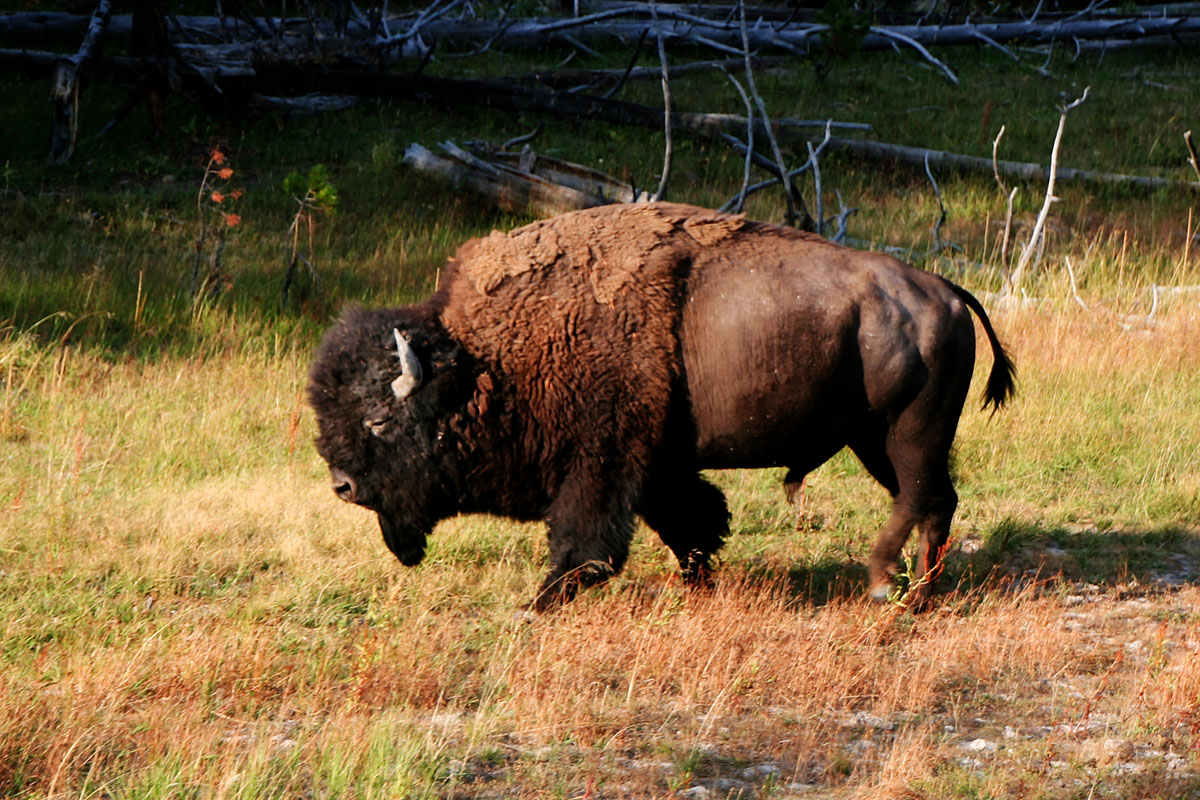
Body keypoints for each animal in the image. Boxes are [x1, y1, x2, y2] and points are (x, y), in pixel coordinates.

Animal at [309, 203, 1012, 609]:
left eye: (379, 420)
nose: (342, 485)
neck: (488, 362)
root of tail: (946, 290)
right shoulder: (656, 466)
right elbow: (692, 522)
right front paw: (698, 582)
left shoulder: (602, 464)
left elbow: (586, 545)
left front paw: (538, 603)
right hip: (877, 440)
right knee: (936, 502)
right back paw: (920, 595)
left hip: (907, 432)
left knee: (920, 499)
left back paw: (883, 583)